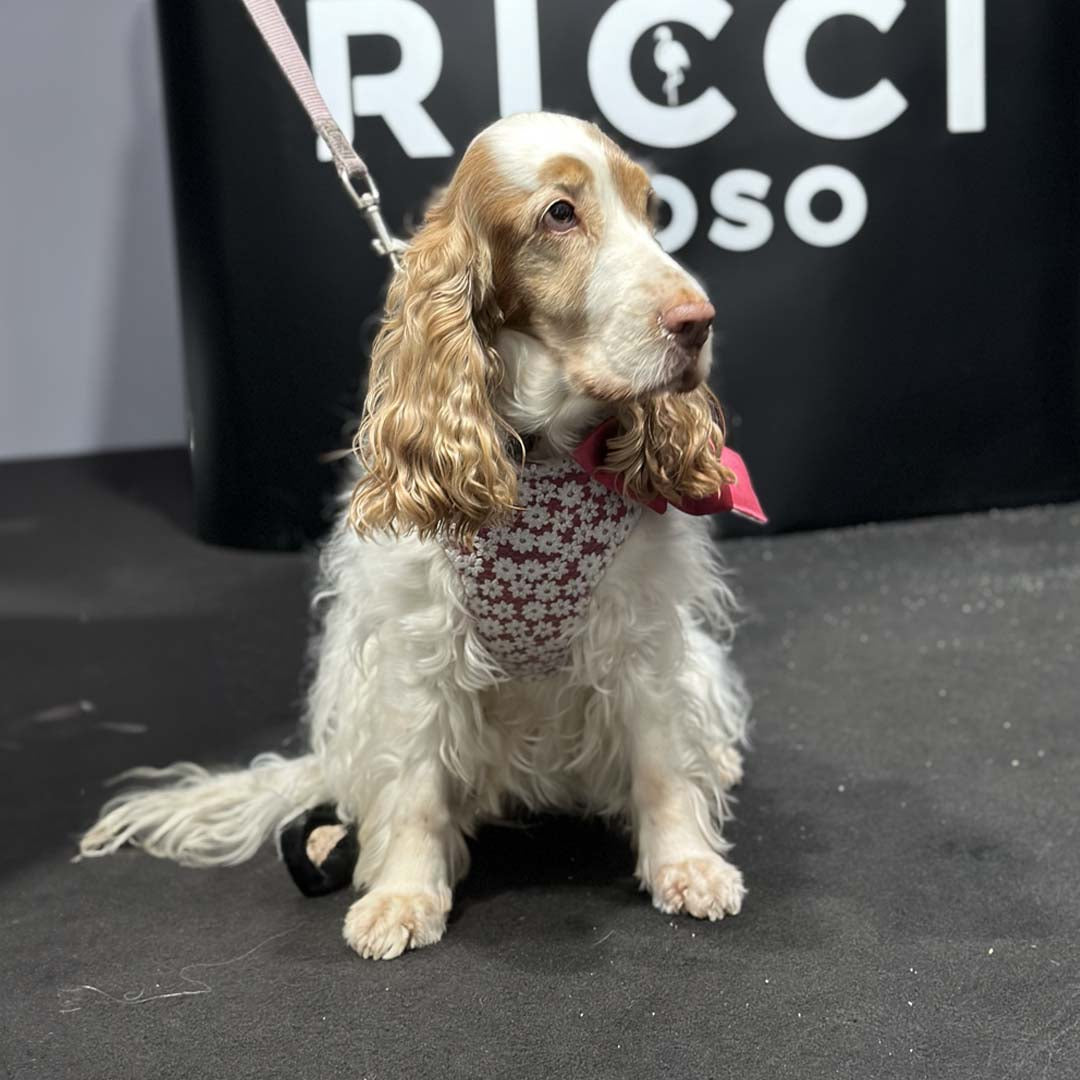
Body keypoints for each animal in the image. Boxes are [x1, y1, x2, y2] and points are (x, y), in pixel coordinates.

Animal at [82, 113, 760, 959]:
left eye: (650, 208)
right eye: (559, 214)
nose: (698, 323)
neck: (543, 450)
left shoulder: (641, 628)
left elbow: (664, 759)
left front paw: (688, 866)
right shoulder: (418, 644)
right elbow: (411, 786)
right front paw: (402, 896)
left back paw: (719, 759)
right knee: (355, 783)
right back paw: (325, 838)